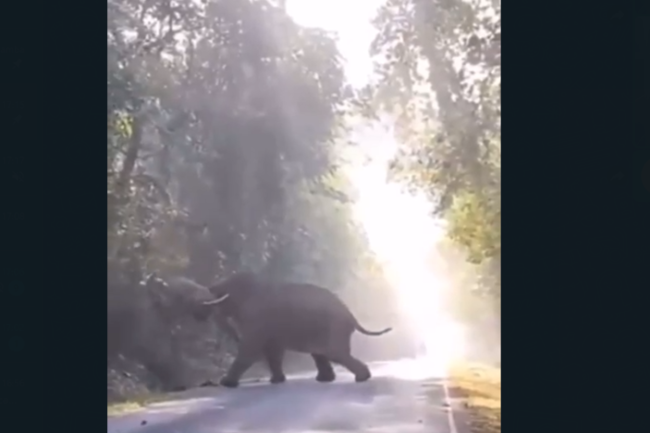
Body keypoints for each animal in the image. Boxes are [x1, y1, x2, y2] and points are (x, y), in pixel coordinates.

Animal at [201, 272, 393, 388]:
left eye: (222, 296)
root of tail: (350, 313)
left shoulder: (258, 318)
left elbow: (252, 349)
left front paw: (225, 383)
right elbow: (273, 350)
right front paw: (277, 381)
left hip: (334, 327)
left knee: (334, 353)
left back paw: (361, 378)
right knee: (322, 354)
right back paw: (326, 380)